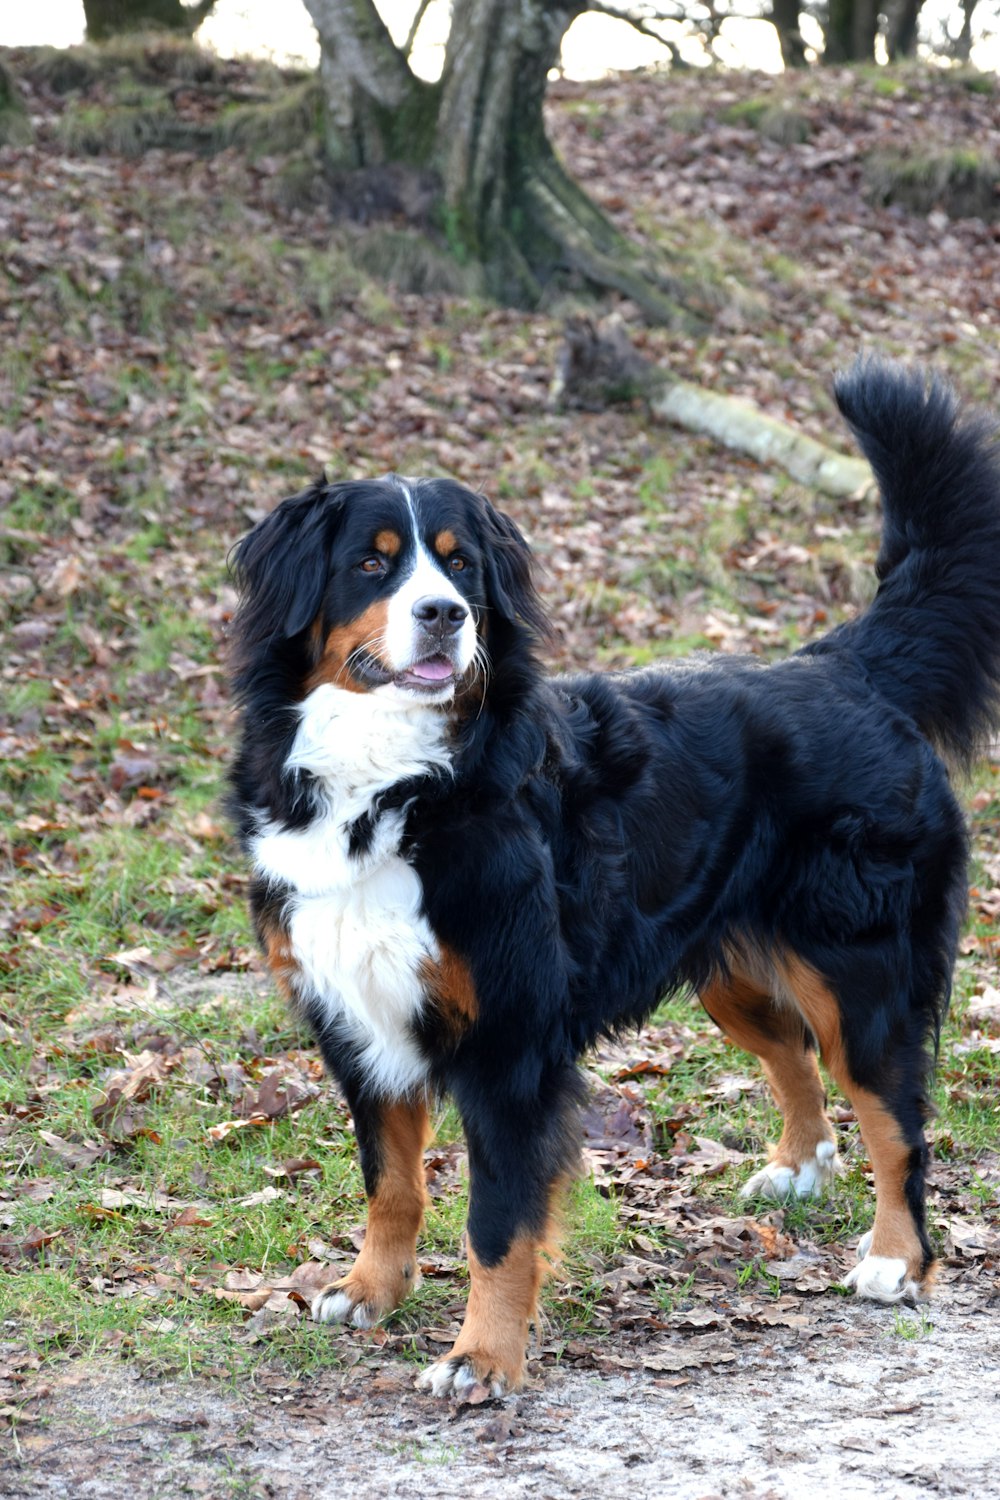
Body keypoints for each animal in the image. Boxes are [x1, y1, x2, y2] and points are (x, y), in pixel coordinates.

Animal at [226, 360, 1000, 1392]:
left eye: (460, 566)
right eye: (372, 563)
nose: (445, 616)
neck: (398, 781)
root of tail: (846, 666)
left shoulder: (509, 1044)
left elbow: (497, 1222)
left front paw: (481, 1358)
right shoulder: (356, 1020)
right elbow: (391, 1184)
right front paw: (370, 1291)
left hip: (862, 973)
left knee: (896, 1116)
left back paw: (895, 1260)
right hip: (730, 969)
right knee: (794, 1054)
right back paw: (799, 1167)